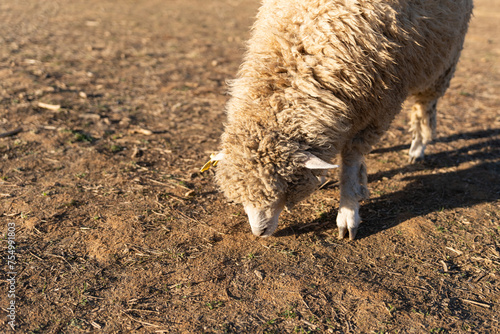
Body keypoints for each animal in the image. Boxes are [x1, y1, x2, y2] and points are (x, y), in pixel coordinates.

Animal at [203, 0, 472, 240]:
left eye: (287, 187)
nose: (259, 233)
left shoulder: (379, 108)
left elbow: (350, 162)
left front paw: (348, 211)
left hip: (443, 62)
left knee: (424, 108)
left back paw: (418, 147)